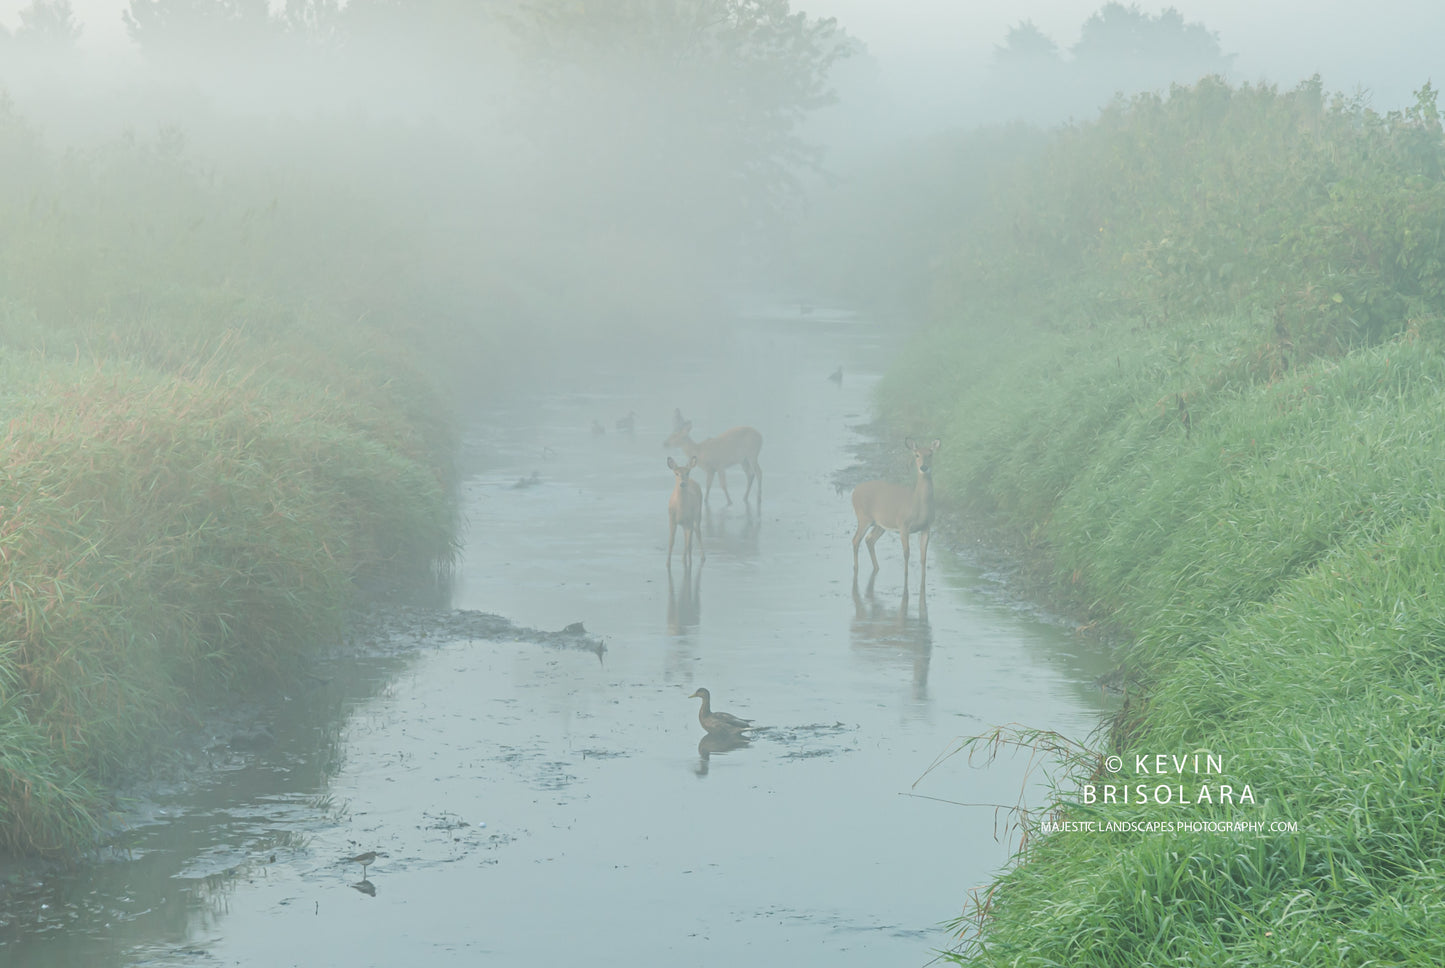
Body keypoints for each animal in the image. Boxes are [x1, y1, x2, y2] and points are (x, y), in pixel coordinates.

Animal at [849, 442, 942, 592]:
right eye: (916, 454)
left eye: (930, 454)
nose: (923, 467)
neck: (918, 505)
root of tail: (854, 491)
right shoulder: (903, 525)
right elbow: (906, 552)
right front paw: (906, 576)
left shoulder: (927, 527)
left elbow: (923, 556)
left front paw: (924, 578)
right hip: (863, 517)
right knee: (855, 540)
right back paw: (856, 568)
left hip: (879, 524)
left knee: (869, 540)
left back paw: (876, 567)